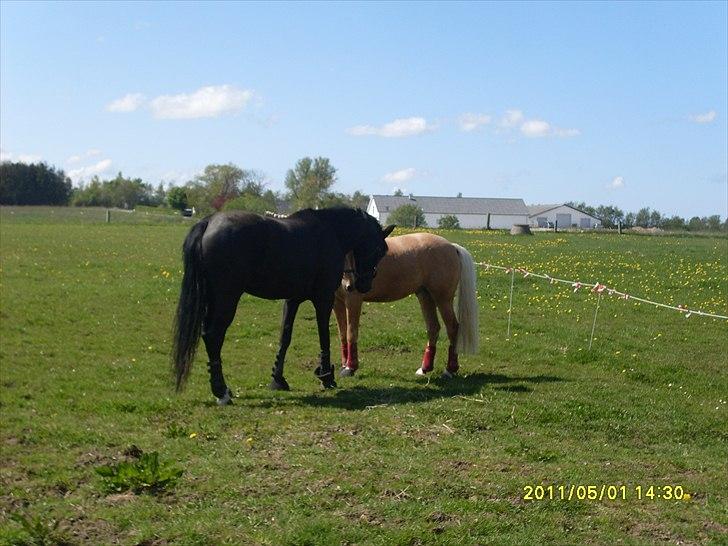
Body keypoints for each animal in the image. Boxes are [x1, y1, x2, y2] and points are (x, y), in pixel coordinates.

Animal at [171, 206, 392, 402]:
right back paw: (221, 392)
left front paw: (278, 380)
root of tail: (208, 223)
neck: (331, 232)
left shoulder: (292, 300)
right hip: (226, 298)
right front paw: (326, 377)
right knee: (213, 336)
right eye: (380, 249)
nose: (364, 285)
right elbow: (324, 337)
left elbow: (284, 337)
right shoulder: (323, 299)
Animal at [334, 232, 480, 376]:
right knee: (433, 327)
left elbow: (351, 332)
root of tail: (452, 246)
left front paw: (350, 368)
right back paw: (424, 368)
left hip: (443, 299)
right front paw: (344, 365)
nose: (350, 284)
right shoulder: (337, 302)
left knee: (453, 328)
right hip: (425, 296)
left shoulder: (353, 300)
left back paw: (449, 370)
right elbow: (342, 334)